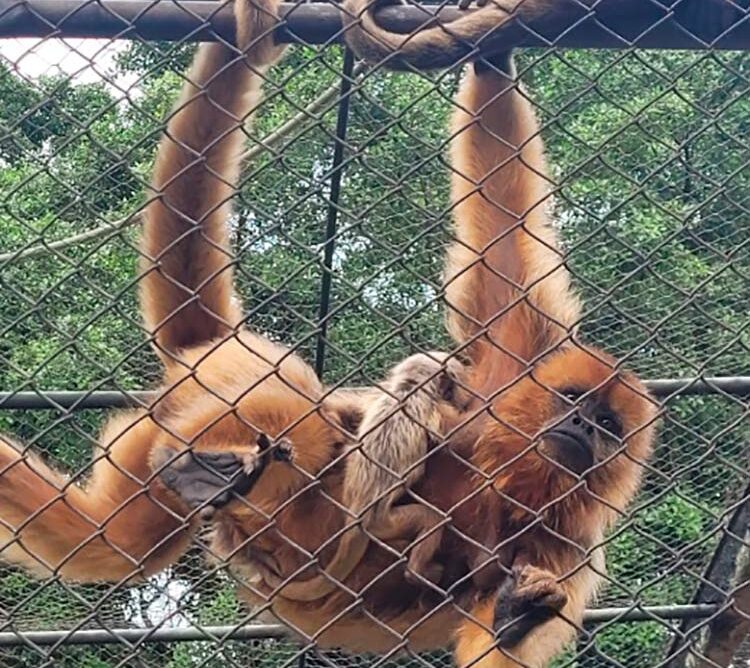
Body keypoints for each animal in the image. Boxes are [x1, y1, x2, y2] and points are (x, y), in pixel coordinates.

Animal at [264, 352, 472, 604]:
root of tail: (356, 512)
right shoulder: (434, 409)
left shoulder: (382, 394)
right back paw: (418, 572)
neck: (406, 389)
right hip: (383, 523)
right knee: (432, 519)